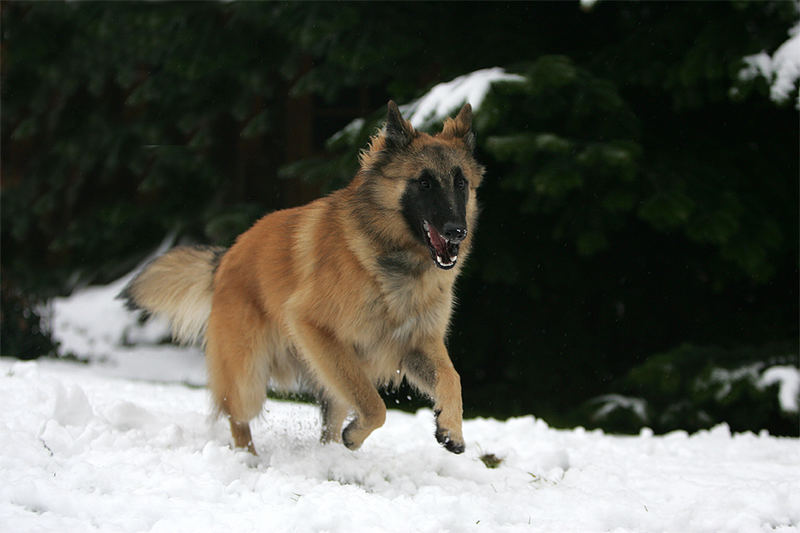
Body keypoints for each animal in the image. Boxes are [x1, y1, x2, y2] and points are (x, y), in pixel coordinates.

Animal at [122, 101, 484, 454]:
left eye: (461, 183)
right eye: (424, 182)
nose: (457, 232)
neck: (390, 261)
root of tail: (226, 258)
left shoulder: (415, 343)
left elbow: (452, 378)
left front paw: (451, 428)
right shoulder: (314, 327)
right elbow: (374, 405)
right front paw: (356, 435)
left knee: (328, 424)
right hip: (250, 377)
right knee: (238, 418)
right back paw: (249, 459)